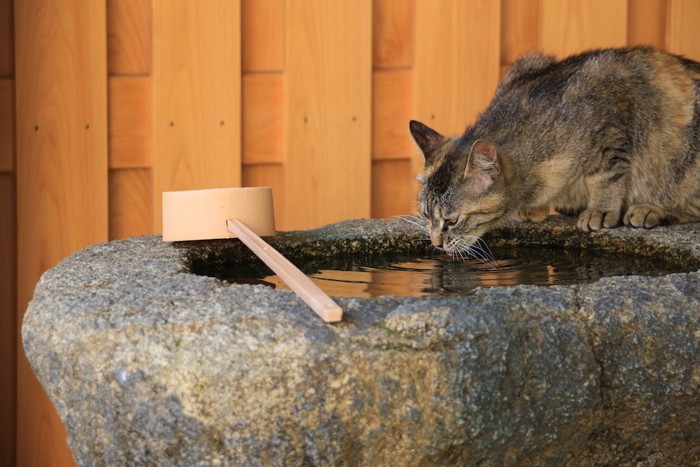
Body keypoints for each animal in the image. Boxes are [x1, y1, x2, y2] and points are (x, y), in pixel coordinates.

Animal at [410, 45, 700, 254]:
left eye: (452, 221)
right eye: (425, 215)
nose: (435, 243)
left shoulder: (610, 129)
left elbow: (607, 178)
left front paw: (601, 209)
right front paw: (536, 209)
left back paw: (651, 210)